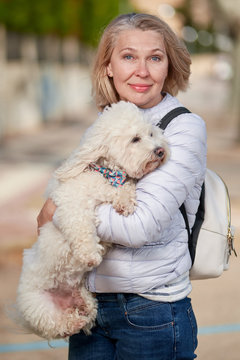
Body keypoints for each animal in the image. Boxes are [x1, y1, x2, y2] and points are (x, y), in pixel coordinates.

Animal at [15, 101, 170, 340]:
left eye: (151, 133)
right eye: (135, 139)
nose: (160, 150)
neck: (105, 174)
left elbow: (125, 188)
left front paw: (125, 200)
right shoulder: (70, 204)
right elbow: (81, 227)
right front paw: (89, 255)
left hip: (83, 296)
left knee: (85, 311)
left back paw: (83, 309)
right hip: (39, 306)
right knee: (57, 325)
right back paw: (73, 321)